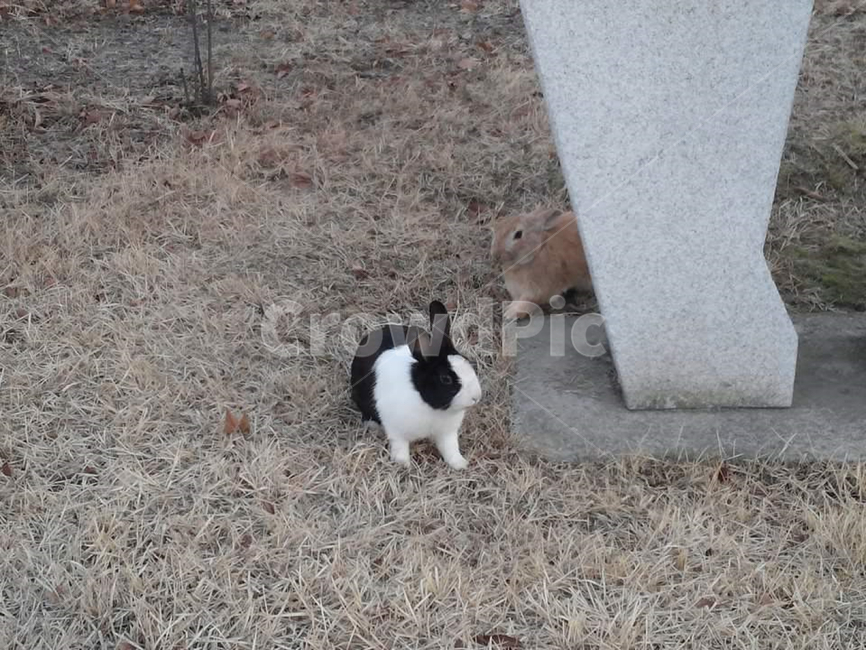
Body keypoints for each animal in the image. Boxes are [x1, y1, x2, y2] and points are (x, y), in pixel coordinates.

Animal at [350, 300, 482, 470]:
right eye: (445, 378)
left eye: (468, 361)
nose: (476, 397)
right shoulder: (396, 431)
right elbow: (400, 447)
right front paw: (403, 465)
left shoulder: (447, 433)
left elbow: (450, 449)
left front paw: (460, 464)